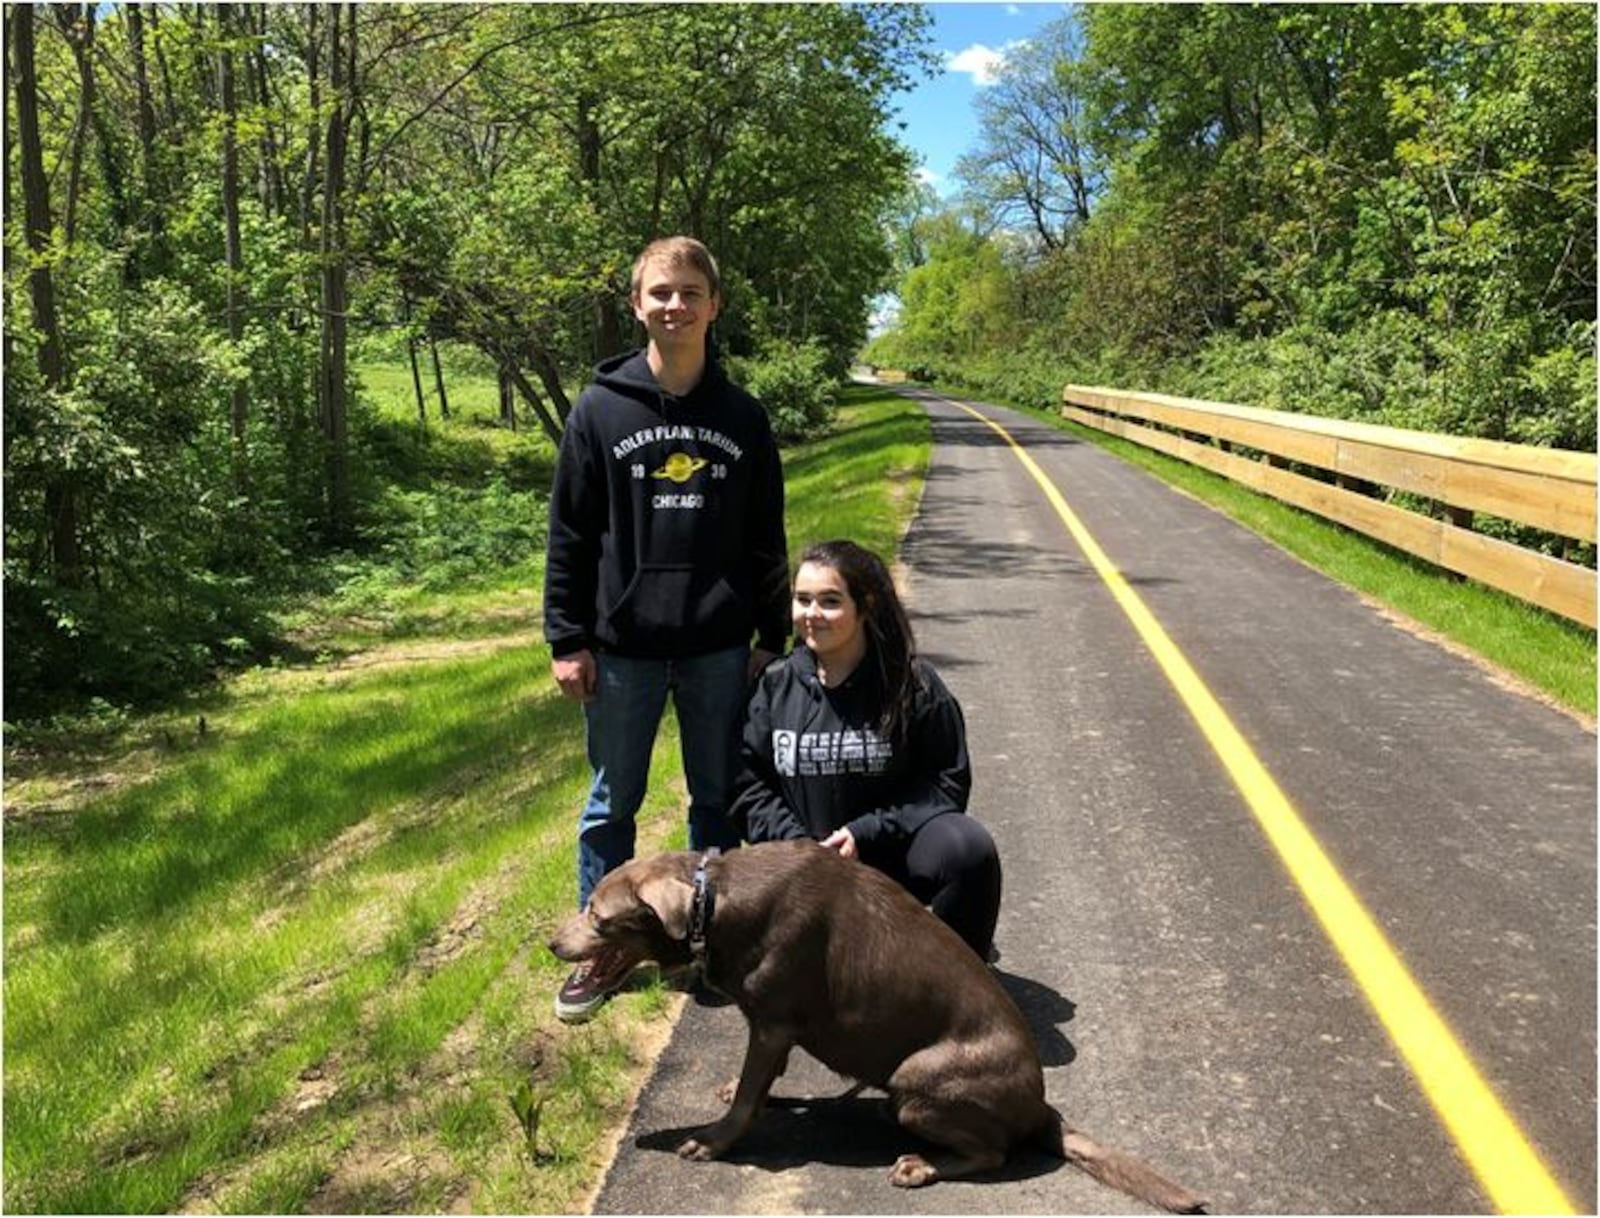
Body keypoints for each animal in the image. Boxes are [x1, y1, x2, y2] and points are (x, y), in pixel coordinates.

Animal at [550, 838, 1203, 1209]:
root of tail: (1042, 1107)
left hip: (916, 1084)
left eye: (597, 916)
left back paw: (920, 1167)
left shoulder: (772, 1023)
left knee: (994, 1153)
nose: (550, 942)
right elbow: (757, 1086)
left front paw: (711, 1141)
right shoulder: (775, 1032)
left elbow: (746, 1099)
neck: (715, 902)